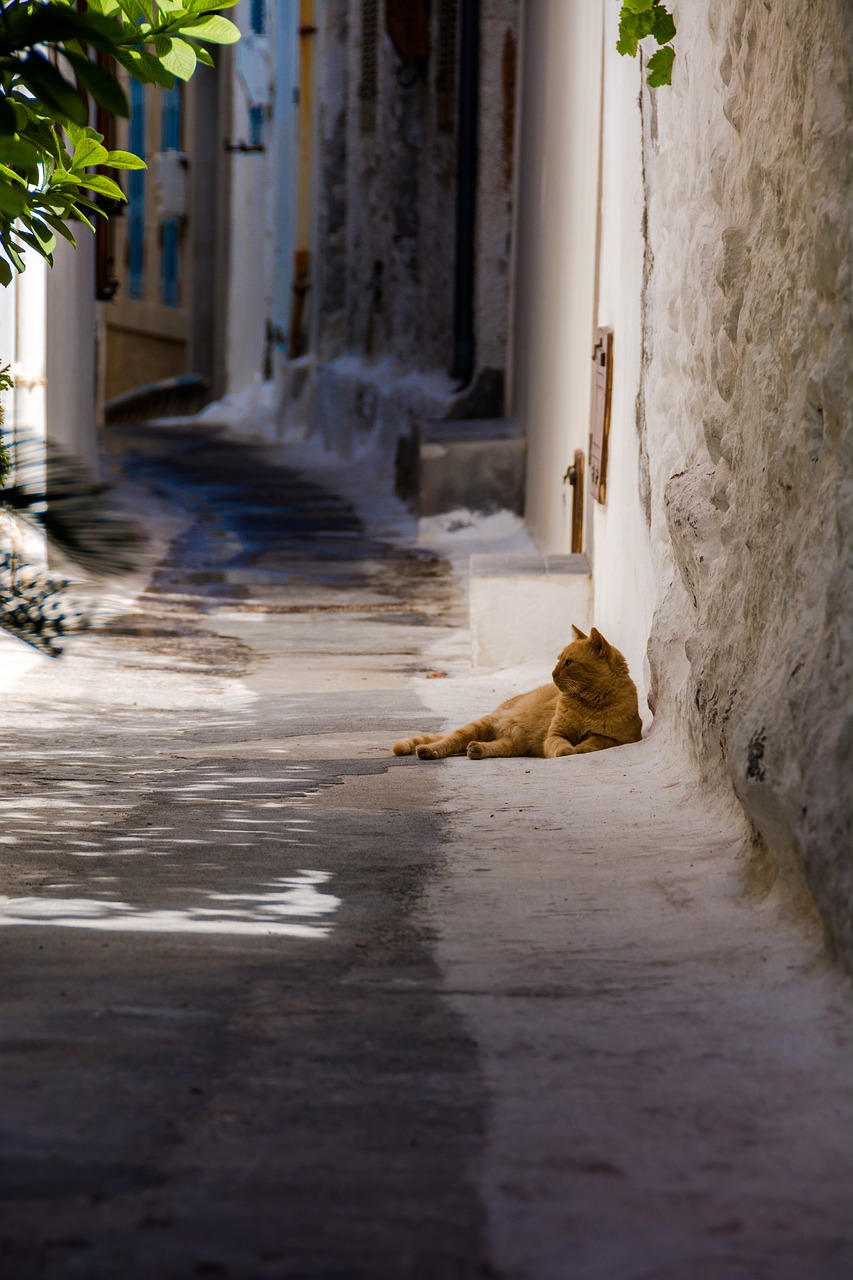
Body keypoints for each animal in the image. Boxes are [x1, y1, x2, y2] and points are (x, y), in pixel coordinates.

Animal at [391, 627, 637, 757]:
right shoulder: (555, 734)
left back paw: (477, 749)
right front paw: (567, 750)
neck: (589, 703)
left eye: (568, 663)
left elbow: (592, 743)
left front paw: (578, 748)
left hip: (513, 744)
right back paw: (428, 750)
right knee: (449, 741)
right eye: (558, 660)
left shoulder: (616, 739)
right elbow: (560, 745)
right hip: (481, 725)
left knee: (490, 747)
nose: (552, 673)